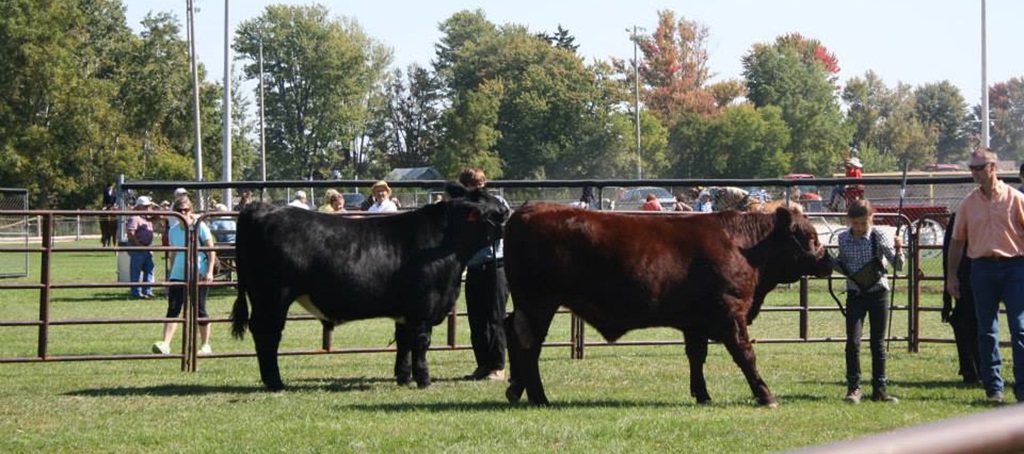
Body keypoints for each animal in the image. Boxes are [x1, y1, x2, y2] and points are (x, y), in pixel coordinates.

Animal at [230, 183, 510, 391]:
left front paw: (403, 377)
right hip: (273, 296)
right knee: (267, 333)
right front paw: (424, 379)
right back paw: (275, 382)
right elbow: (421, 342)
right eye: (488, 200)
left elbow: (403, 342)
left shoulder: (406, 311)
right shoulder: (424, 306)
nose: (507, 209)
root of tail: (262, 209)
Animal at [502, 203, 833, 407]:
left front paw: (702, 394)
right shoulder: (730, 312)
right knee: (528, 345)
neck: (744, 247)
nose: (828, 260)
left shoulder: (695, 321)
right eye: (810, 237)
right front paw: (765, 395)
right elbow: (745, 353)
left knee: (513, 333)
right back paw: (539, 397)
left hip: (529, 305)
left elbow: (696, 356)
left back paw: (516, 389)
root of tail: (529, 210)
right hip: (538, 303)